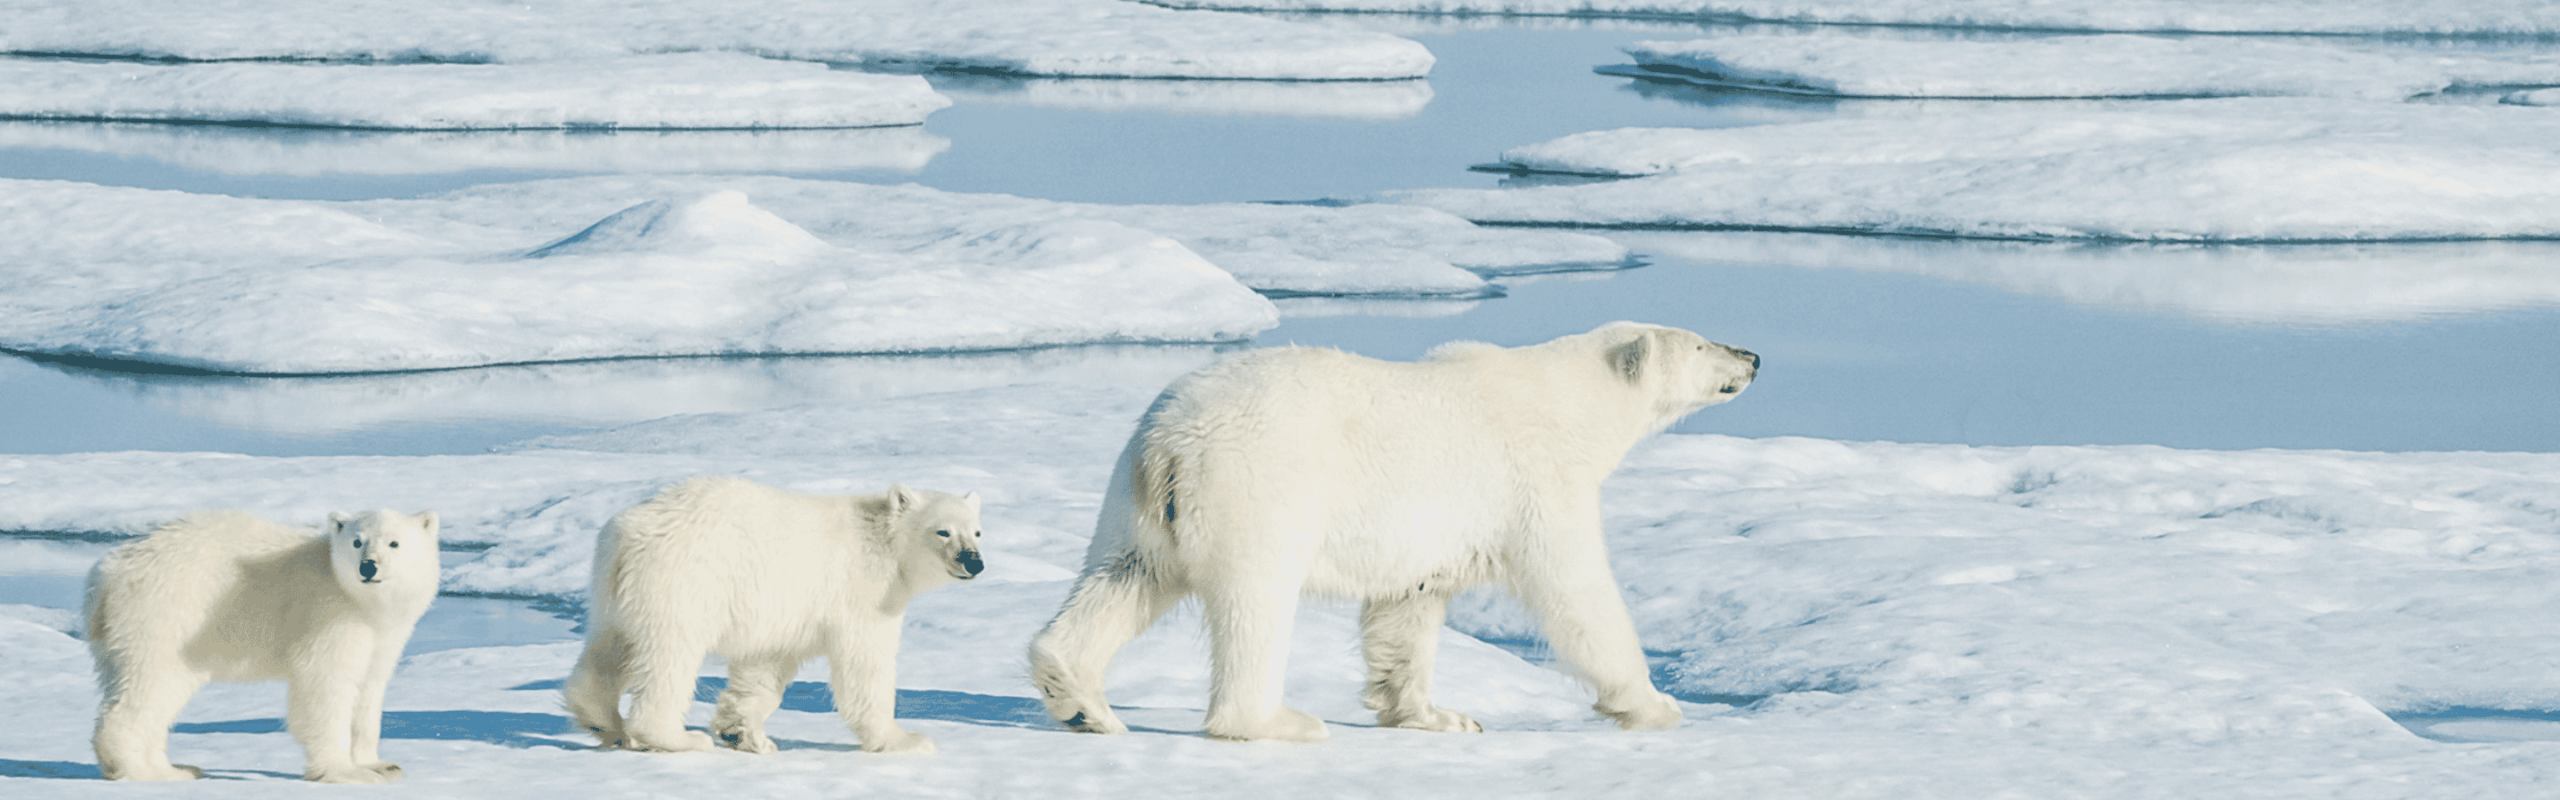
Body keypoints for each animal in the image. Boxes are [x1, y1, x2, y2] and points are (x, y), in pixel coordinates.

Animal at [85, 509, 442, 782]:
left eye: (394, 542)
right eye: (357, 541)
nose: (368, 566)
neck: (361, 600)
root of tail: (108, 575)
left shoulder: (383, 634)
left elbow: (369, 689)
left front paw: (381, 765)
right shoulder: (328, 615)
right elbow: (325, 686)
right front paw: (344, 772)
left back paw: (176, 767)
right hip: (168, 615)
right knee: (150, 686)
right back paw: (143, 771)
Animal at [563, 476, 985, 756]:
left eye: (977, 532)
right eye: (943, 531)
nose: (974, 562)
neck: (884, 542)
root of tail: (629, 532)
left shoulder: (785, 616)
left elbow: (762, 668)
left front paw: (745, 734)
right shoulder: (863, 593)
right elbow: (865, 666)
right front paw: (908, 740)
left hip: (615, 592)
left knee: (608, 649)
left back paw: (605, 723)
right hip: (686, 583)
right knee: (670, 657)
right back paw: (677, 737)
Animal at [1027, 321, 1758, 742]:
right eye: (1700, 343)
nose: (1752, 356)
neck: (1570, 403)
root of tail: (1171, 441)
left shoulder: (1428, 533)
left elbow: (1406, 609)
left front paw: (1440, 716)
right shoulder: (1535, 482)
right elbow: (1577, 592)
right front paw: (1654, 704)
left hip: (1136, 503)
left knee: (1122, 580)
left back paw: (1083, 703)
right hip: (1260, 485)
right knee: (1255, 602)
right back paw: (1277, 722)